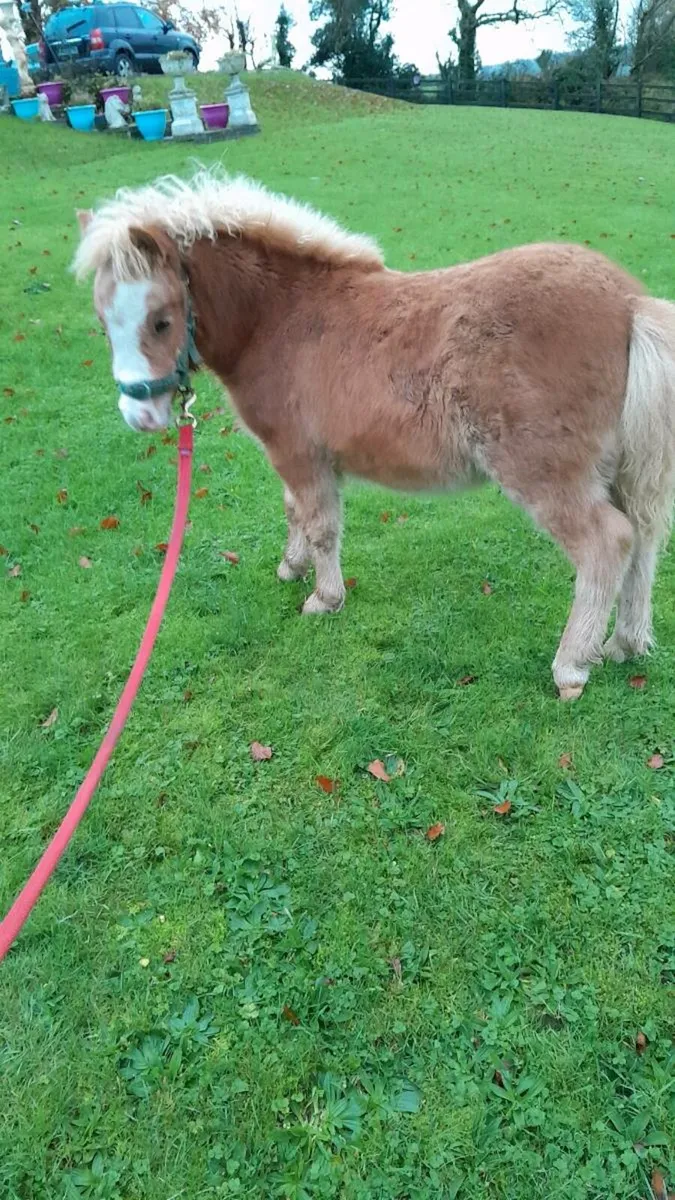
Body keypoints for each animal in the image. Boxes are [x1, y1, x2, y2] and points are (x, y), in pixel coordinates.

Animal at [73, 170, 675, 700]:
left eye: (161, 320)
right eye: (102, 323)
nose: (140, 416)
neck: (281, 319)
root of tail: (629, 304)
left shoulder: (296, 451)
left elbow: (320, 524)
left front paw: (324, 598)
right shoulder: (301, 457)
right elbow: (295, 511)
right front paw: (292, 567)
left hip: (545, 473)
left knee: (607, 543)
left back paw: (571, 666)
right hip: (620, 469)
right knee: (644, 536)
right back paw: (623, 644)